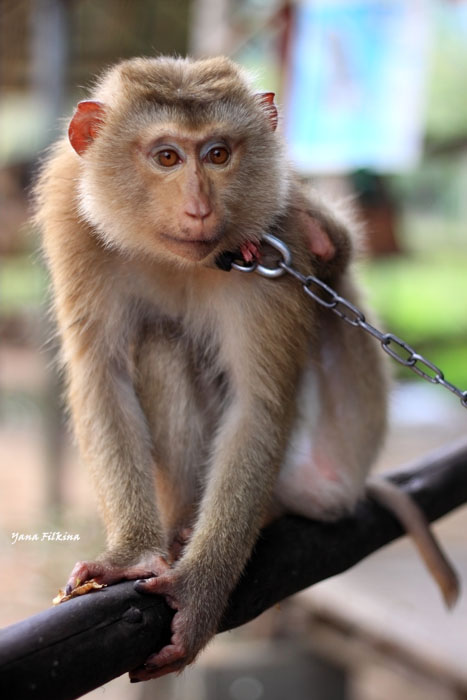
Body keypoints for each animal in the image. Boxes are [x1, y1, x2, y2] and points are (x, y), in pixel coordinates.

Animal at [33, 56, 460, 684]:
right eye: (167, 157)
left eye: (218, 154)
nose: (200, 208)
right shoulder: (71, 215)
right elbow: (103, 378)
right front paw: (131, 555)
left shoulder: (273, 230)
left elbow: (259, 405)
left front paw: (201, 590)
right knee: (158, 343)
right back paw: (180, 528)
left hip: (334, 453)